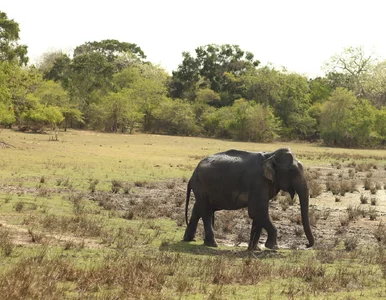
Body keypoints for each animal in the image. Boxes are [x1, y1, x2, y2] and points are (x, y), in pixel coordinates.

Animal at [183, 148, 314, 251]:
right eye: (292, 171)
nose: (306, 245)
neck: (270, 155)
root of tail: (192, 175)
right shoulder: (257, 182)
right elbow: (258, 211)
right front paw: (272, 247)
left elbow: (258, 215)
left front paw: (253, 249)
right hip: (201, 185)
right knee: (206, 211)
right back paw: (212, 244)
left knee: (198, 209)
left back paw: (190, 240)